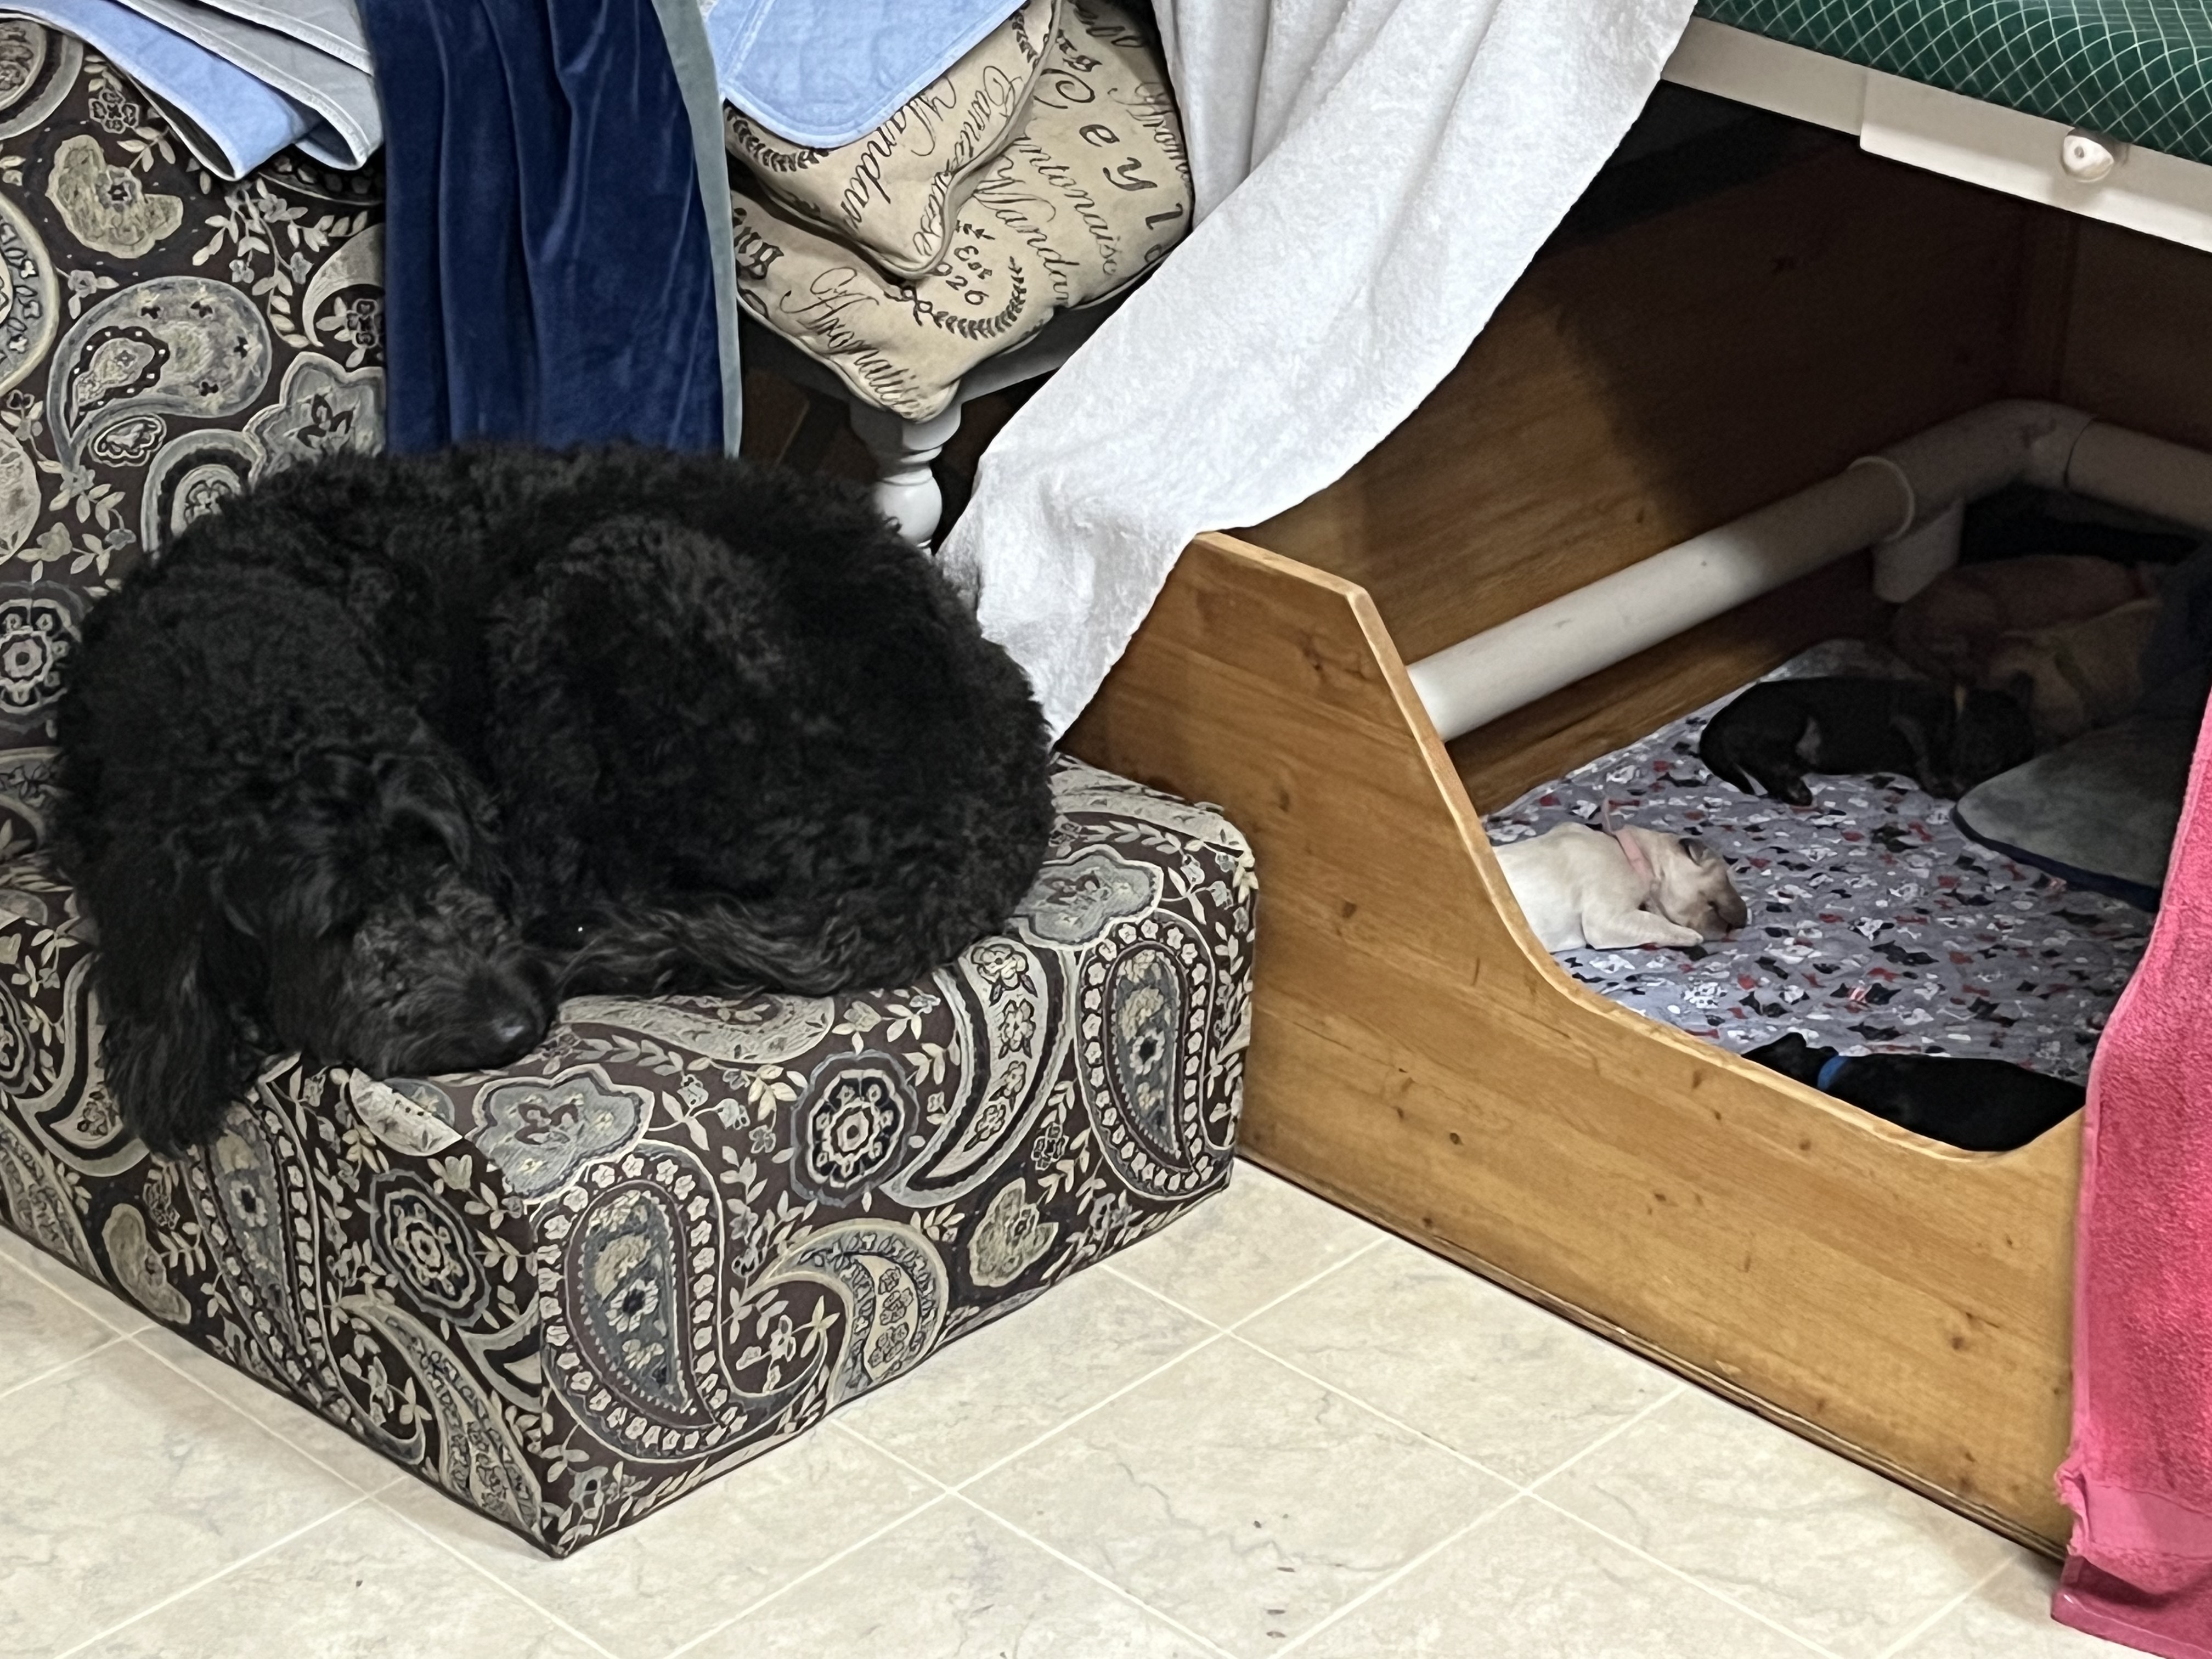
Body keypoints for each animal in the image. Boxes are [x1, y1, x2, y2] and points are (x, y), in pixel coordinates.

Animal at [1697, 676, 2033, 805]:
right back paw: (1795, 789)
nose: (1966, 787)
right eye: (1980, 737)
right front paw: (1939, 783)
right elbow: (1925, 754)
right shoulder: (1909, 718)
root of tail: (1721, 719)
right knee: (1758, 756)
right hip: (1789, 718)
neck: (1951, 714)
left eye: (2011, 761)